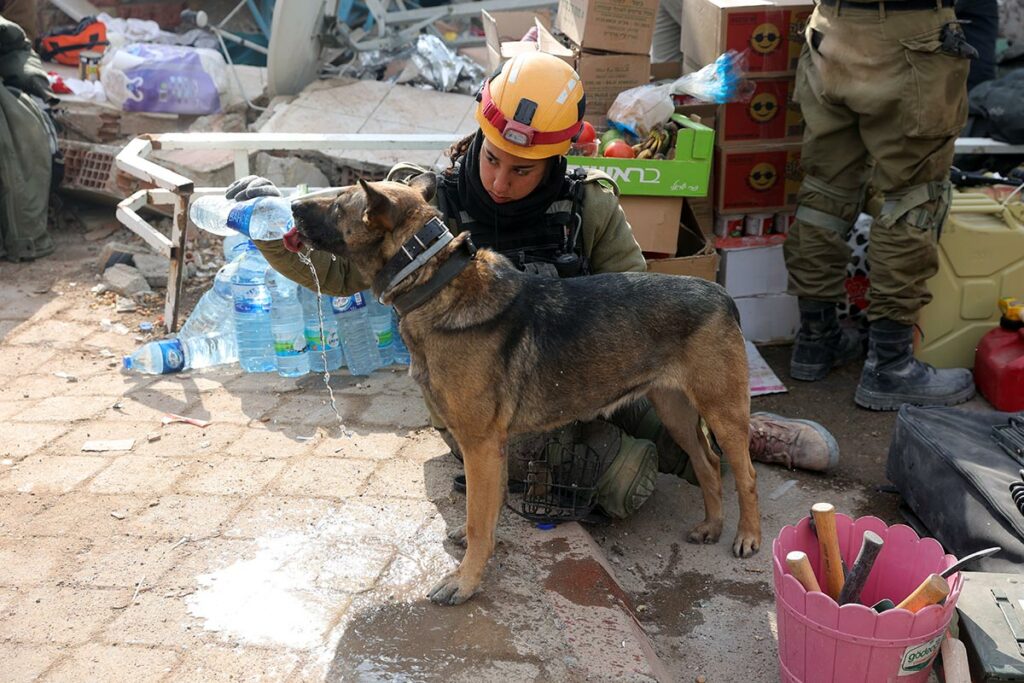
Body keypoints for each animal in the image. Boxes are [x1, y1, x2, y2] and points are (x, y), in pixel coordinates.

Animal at [290, 175, 761, 602]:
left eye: (339, 203)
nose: (291, 208)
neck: (433, 278)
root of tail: (720, 293)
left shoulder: (480, 444)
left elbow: (479, 518)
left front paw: (466, 581)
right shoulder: (491, 448)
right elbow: (488, 509)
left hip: (724, 414)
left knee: (745, 472)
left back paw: (748, 536)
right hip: (675, 410)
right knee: (706, 462)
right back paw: (712, 525)